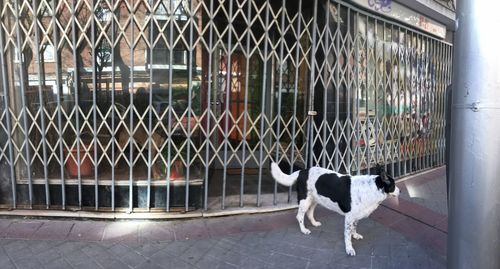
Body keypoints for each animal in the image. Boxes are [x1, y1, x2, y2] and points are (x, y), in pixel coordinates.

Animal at [270, 162, 398, 254]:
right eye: (394, 185)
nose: (400, 191)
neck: (371, 188)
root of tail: (302, 171)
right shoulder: (349, 218)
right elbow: (347, 236)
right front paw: (349, 249)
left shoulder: (355, 217)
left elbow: (354, 228)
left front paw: (355, 235)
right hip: (305, 201)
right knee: (300, 216)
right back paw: (304, 230)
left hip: (314, 199)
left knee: (310, 213)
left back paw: (314, 223)